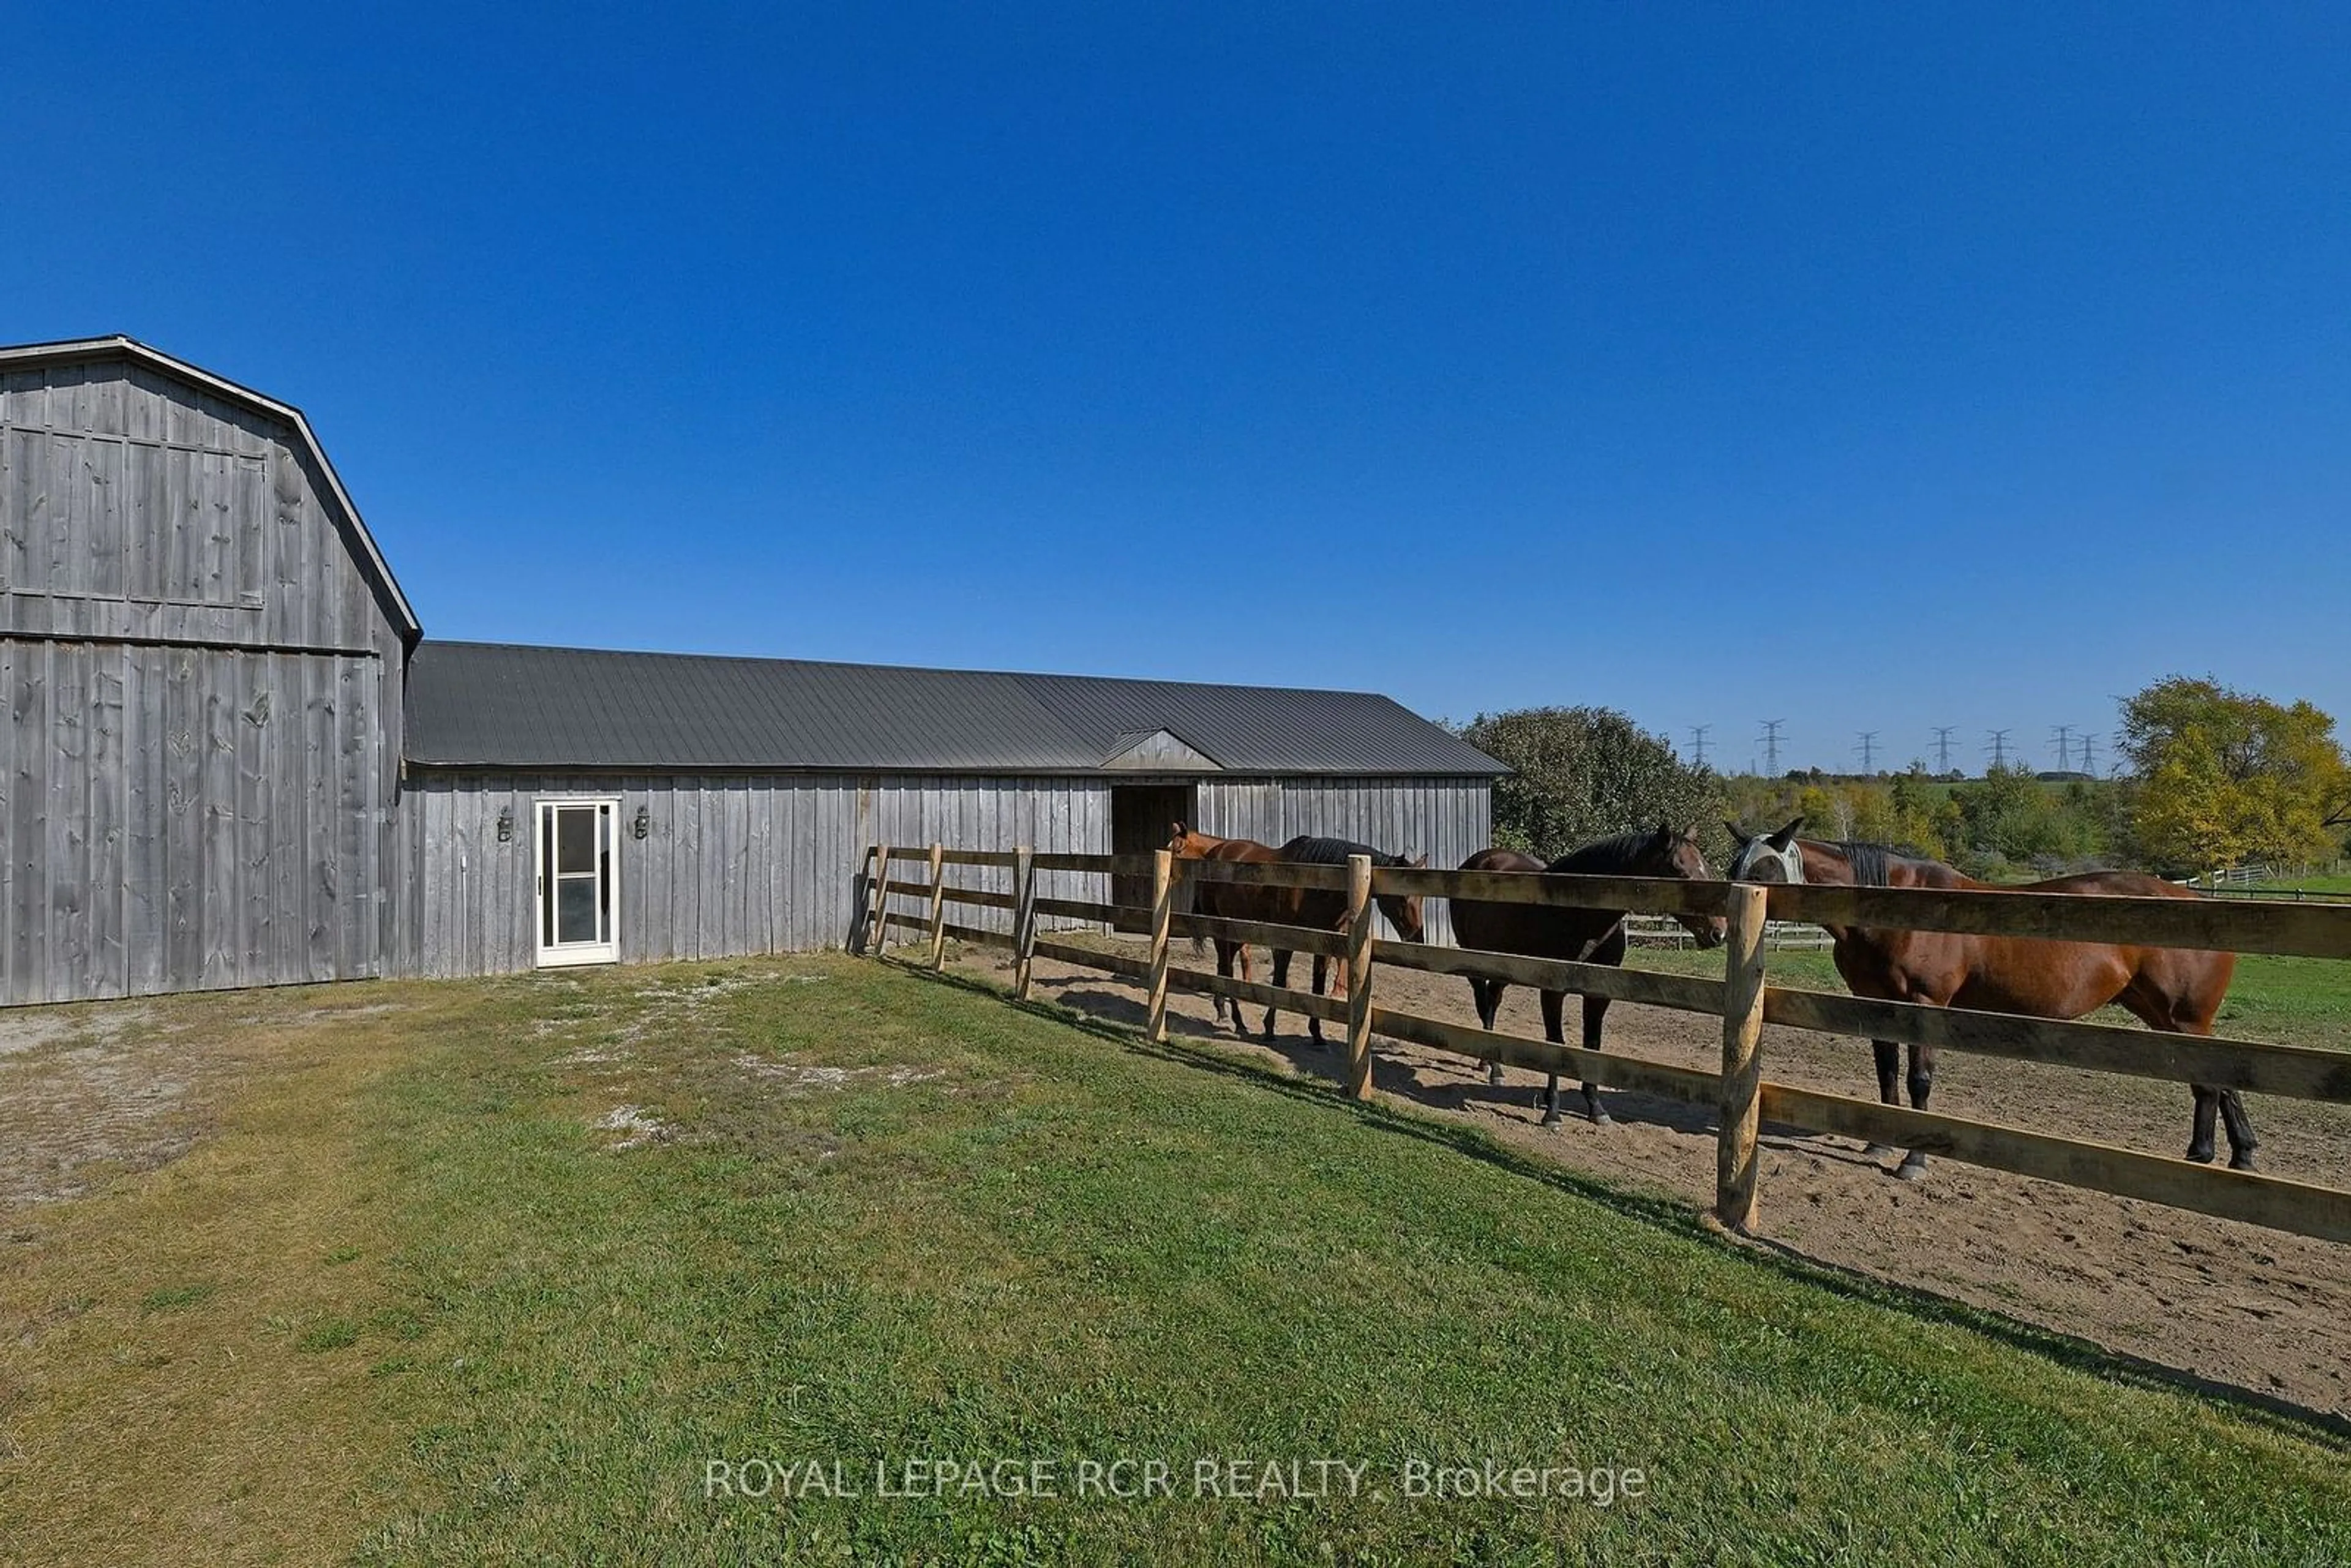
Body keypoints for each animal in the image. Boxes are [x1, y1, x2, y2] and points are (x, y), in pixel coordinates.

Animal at [1166, 827, 1420, 1048]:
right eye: (1402, 897)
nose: (1416, 935)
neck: (1313, 884)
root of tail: (1215, 853)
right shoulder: (1285, 940)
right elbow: (1279, 982)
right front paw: (1269, 1029)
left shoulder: (1322, 944)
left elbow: (1317, 987)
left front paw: (1317, 1035)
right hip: (1221, 927)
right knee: (1226, 970)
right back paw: (1235, 1019)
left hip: (1237, 930)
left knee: (1225, 968)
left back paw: (1226, 1013)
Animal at [1448, 822, 1730, 1128]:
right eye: (1679, 870)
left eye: (1706, 868)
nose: (1719, 932)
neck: (1580, 913)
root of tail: (1477, 861)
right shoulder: (1553, 990)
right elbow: (1556, 1044)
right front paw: (1553, 1112)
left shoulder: (1599, 993)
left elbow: (1592, 1045)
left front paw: (1596, 1108)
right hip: (1476, 960)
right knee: (1484, 1003)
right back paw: (1492, 1066)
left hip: (1504, 965)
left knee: (1492, 1003)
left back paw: (1493, 1066)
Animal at [1730, 822, 2238, 1175]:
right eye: (1735, 866)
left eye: (1763, 869)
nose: (1722, 923)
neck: (1896, 908)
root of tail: (2204, 905)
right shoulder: (1875, 1004)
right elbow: (1887, 1072)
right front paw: (1880, 1141)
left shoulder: (1925, 1006)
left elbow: (1918, 1080)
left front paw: (1914, 1160)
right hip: (2161, 1014)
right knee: (2224, 1081)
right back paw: (2241, 1156)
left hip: (2184, 1019)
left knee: (2212, 1083)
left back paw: (2203, 1154)